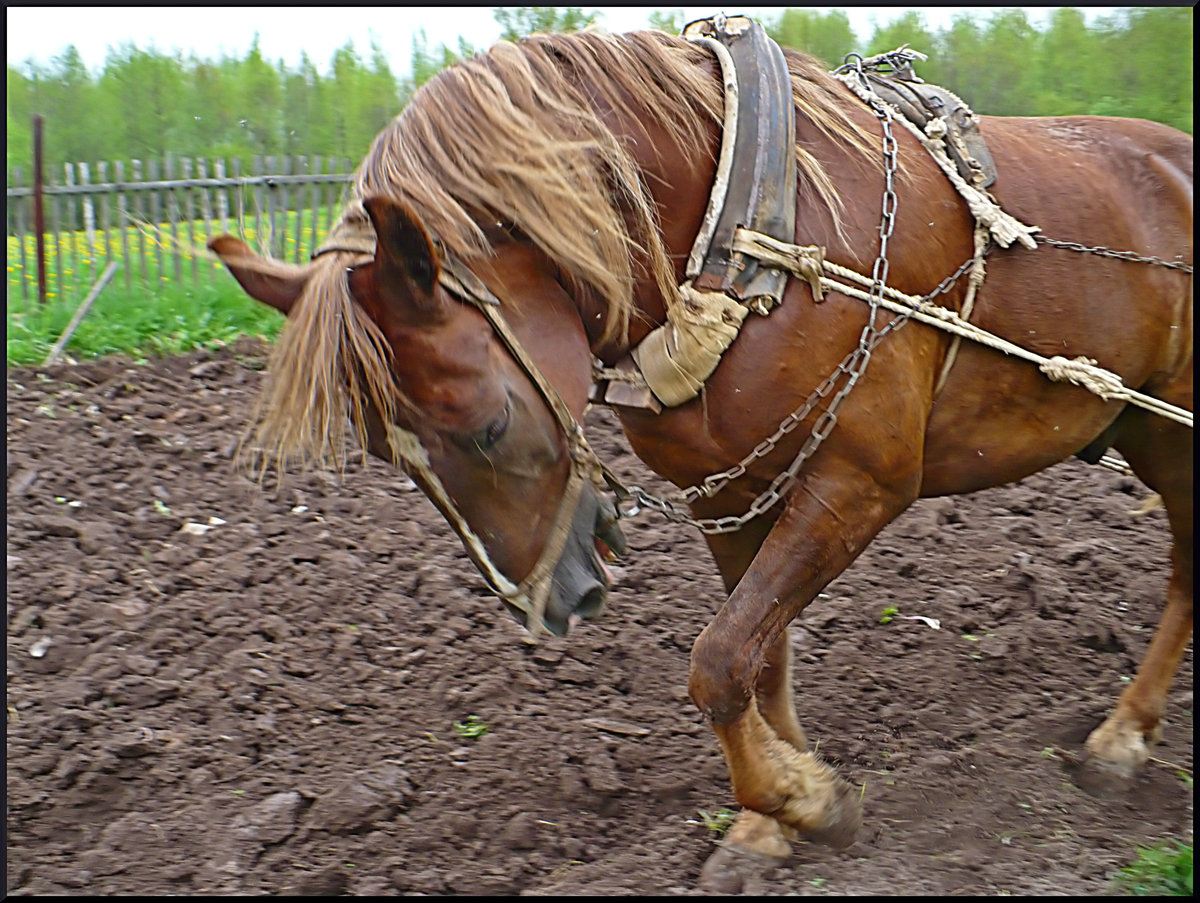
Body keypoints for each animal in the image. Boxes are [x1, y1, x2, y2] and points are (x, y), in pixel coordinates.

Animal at [208, 20, 1192, 888]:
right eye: (386, 454)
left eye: (487, 424)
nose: (556, 603)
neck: (746, 237)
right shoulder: (727, 496)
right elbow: (760, 656)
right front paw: (767, 822)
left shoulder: (859, 483)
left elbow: (716, 660)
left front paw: (807, 800)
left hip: (1175, 432)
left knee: (1186, 569)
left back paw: (1122, 737)